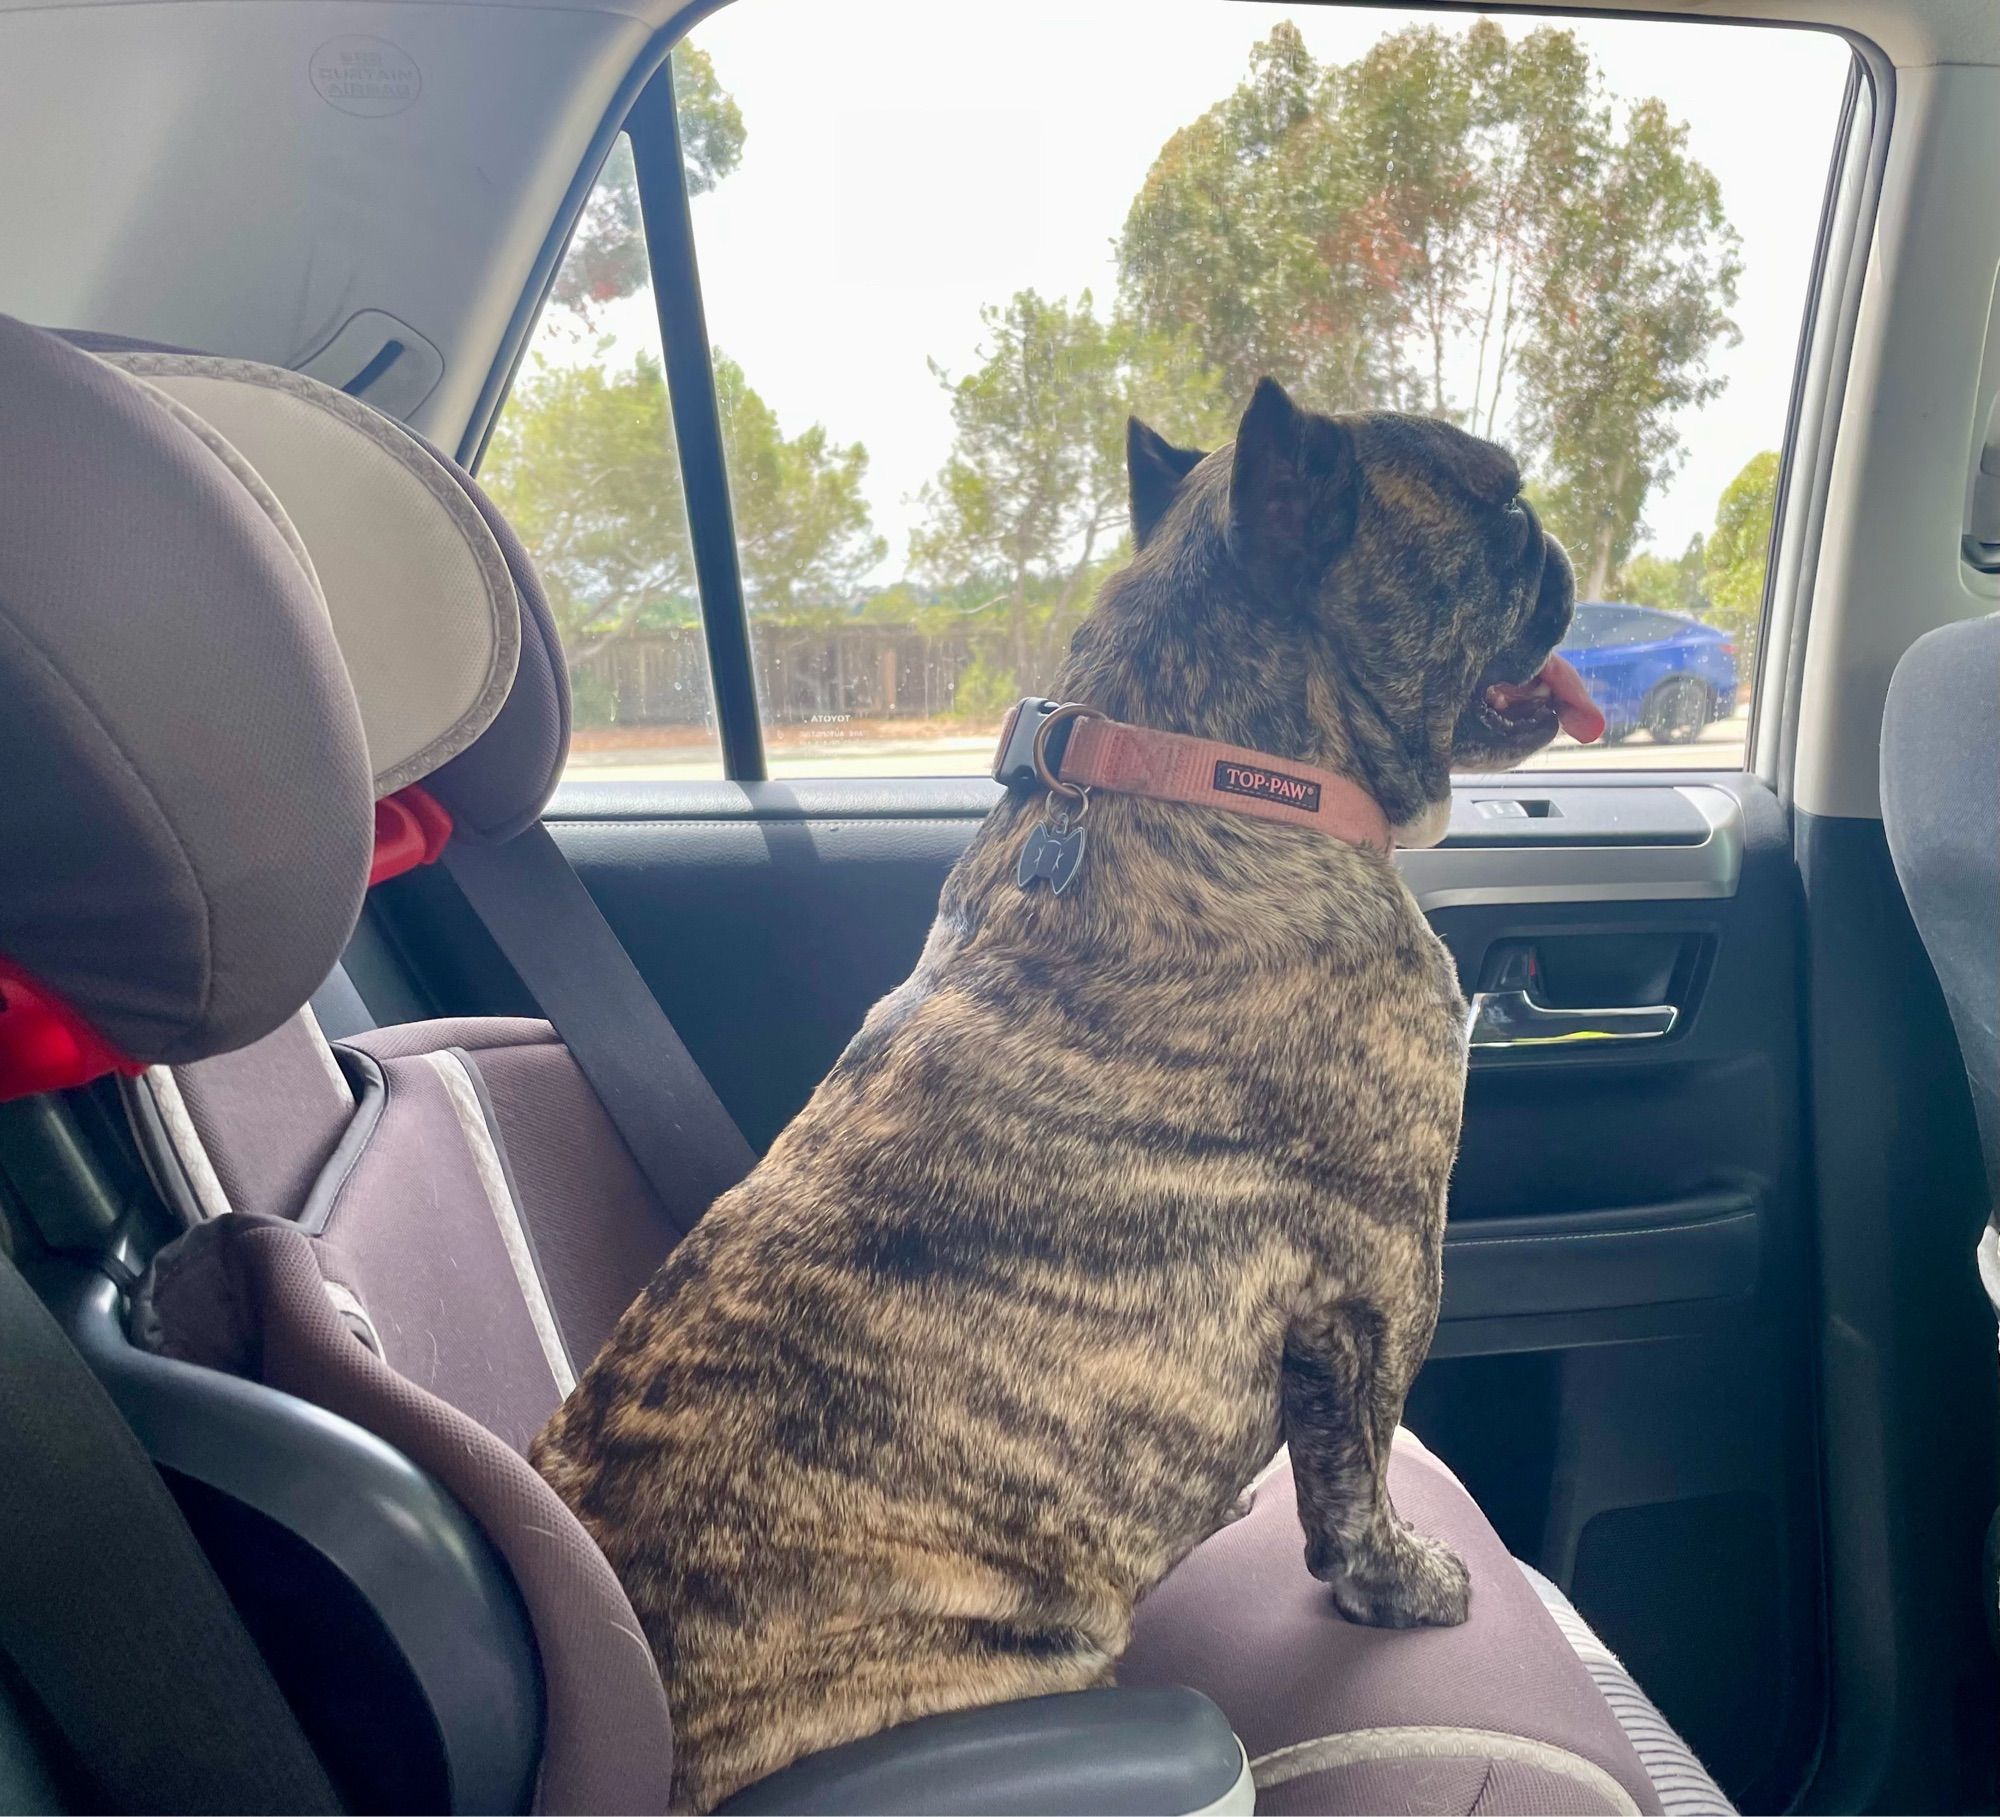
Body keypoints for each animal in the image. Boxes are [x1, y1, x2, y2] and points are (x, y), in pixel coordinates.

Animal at [528, 376, 1592, 1808]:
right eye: (1501, 504)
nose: (1557, 548)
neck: (1202, 758)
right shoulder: (1382, 1270)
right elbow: (1355, 1464)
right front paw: (1398, 1581)